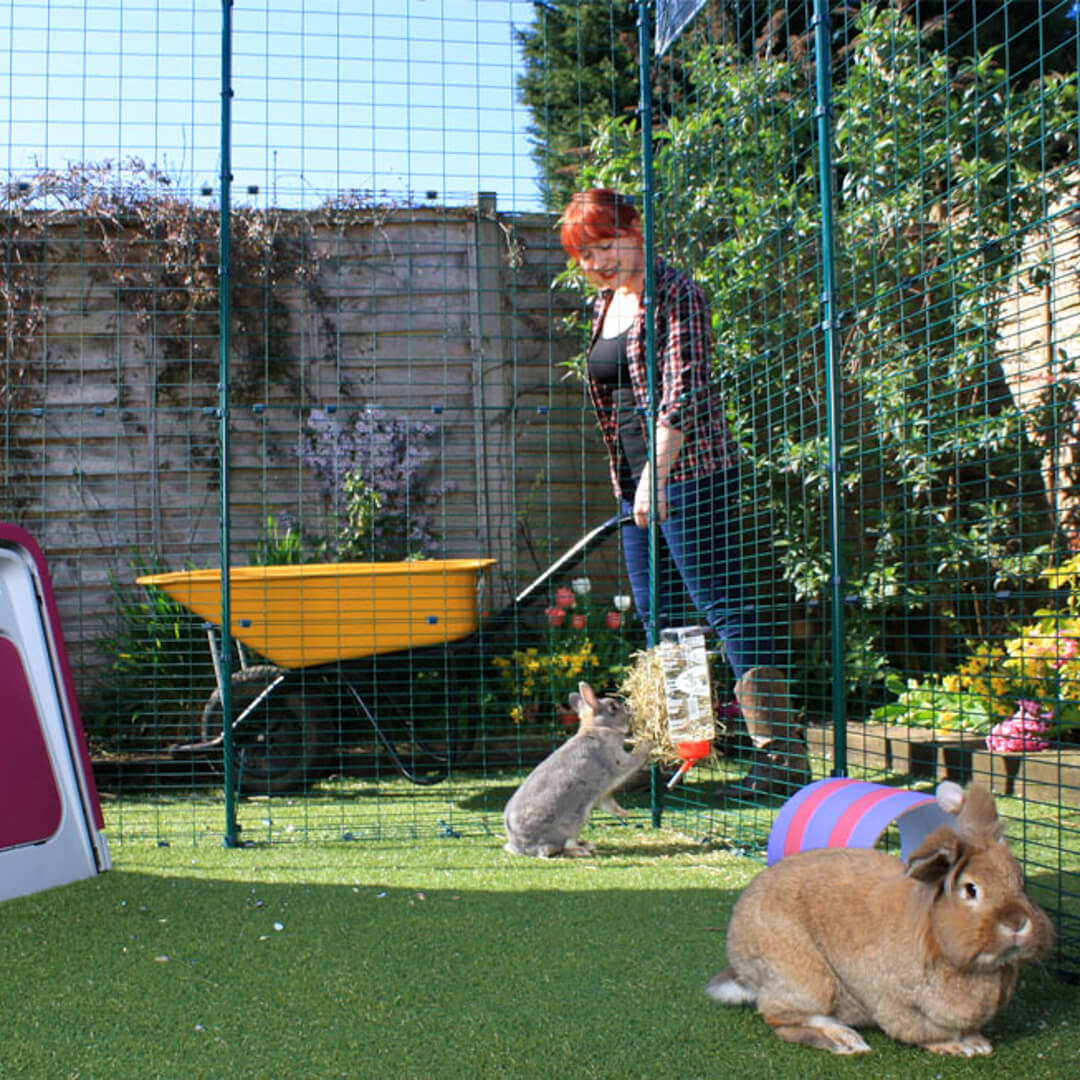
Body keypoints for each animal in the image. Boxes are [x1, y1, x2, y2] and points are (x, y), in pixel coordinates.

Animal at [503, 678, 648, 855]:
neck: (598, 728)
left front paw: (627, 813)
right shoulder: (618, 760)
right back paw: (581, 850)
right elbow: (635, 758)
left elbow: (611, 806)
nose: (631, 712)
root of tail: (523, 847)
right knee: (559, 847)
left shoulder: (603, 794)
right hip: (575, 820)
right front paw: (649, 742)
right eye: (613, 707)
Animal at [708, 781, 1054, 1058]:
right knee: (781, 1018)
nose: (1017, 923)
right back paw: (844, 1040)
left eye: (1021, 881)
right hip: (805, 980)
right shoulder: (900, 1005)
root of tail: (737, 954)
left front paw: (978, 1042)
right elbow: (926, 1032)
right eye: (971, 889)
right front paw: (959, 1046)